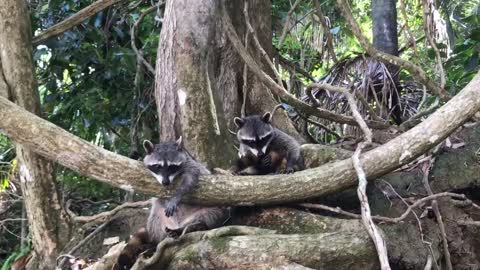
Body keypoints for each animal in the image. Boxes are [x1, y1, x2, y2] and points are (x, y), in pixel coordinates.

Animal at [116, 138, 229, 268]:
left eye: (172, 167)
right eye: (157, 166)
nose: (165, 182)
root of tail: (177, 224)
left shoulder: (190, 164)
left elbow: (190, 179)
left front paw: (176, 196)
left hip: (203, 212)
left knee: (212, 214)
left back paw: (193, 227)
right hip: (160, 217)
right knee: (154, 218)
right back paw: (155, 243)